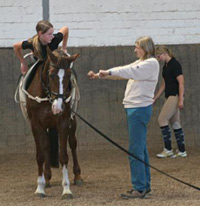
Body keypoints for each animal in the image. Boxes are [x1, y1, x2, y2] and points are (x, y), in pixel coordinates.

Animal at [17, 48, 82, 198]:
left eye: (68, 75)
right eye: (51, 74)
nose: (58, 106)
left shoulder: (63, 123)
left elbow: (64, 156)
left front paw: (66, 189)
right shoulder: (36, 125)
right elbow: (40, 155)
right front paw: (40, 188)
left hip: (72, 121)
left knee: (73, 144)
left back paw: (77, 176)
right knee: (46, 146)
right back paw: (46, 179)